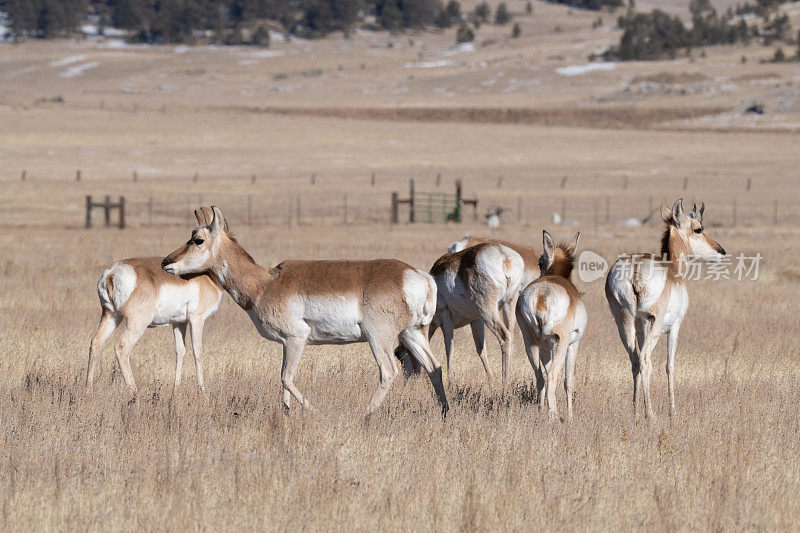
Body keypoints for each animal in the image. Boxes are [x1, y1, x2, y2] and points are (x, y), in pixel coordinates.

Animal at [86, 208, 223, 390]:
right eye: (198, 240)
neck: (206, 277)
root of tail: (113, 272)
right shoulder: (197, 319)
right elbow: (197, 351)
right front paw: (203, 391)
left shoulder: (179, 322)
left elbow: (180, 351)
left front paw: (175, 390)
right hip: (137, 322)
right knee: (121, 347)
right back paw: (134, 392)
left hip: (111, 316)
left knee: (96, 342)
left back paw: (88, 389)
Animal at [161, 206, 450, 414]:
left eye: (197, 239)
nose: (166, 262)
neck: (264, 283)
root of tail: (417, 276)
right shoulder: (286, 344)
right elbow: (283, 384)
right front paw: (286, 413)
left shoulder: (296, 339)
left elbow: (286, 379)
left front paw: (315, 412)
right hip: (412, 334)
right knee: (434, 367)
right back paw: (445, 412)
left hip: (379, 338)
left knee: (389, 372)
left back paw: (365, 416)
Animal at [516, 229, 584, 420]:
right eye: (540, 262)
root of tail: (541, 295)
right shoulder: (573, 344)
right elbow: (569, 381)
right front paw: (571, 417)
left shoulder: (546, 347)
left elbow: (545, 374)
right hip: (561, 345)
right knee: (553, 377)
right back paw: (554, 417)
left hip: (531, 343)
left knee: (540, 377)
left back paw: (542, 413)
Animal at [608, 197, 724, 418]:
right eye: (698, 229)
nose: (721, 251)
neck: (673, 271)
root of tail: (635, 269)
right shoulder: (674, 328)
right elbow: (670, 365)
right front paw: (673, 411)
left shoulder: (640, 331)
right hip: (654, 324)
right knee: (645, 359)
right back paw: (650, 414)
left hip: (624, 323)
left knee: (635, 360)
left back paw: (636, 411)